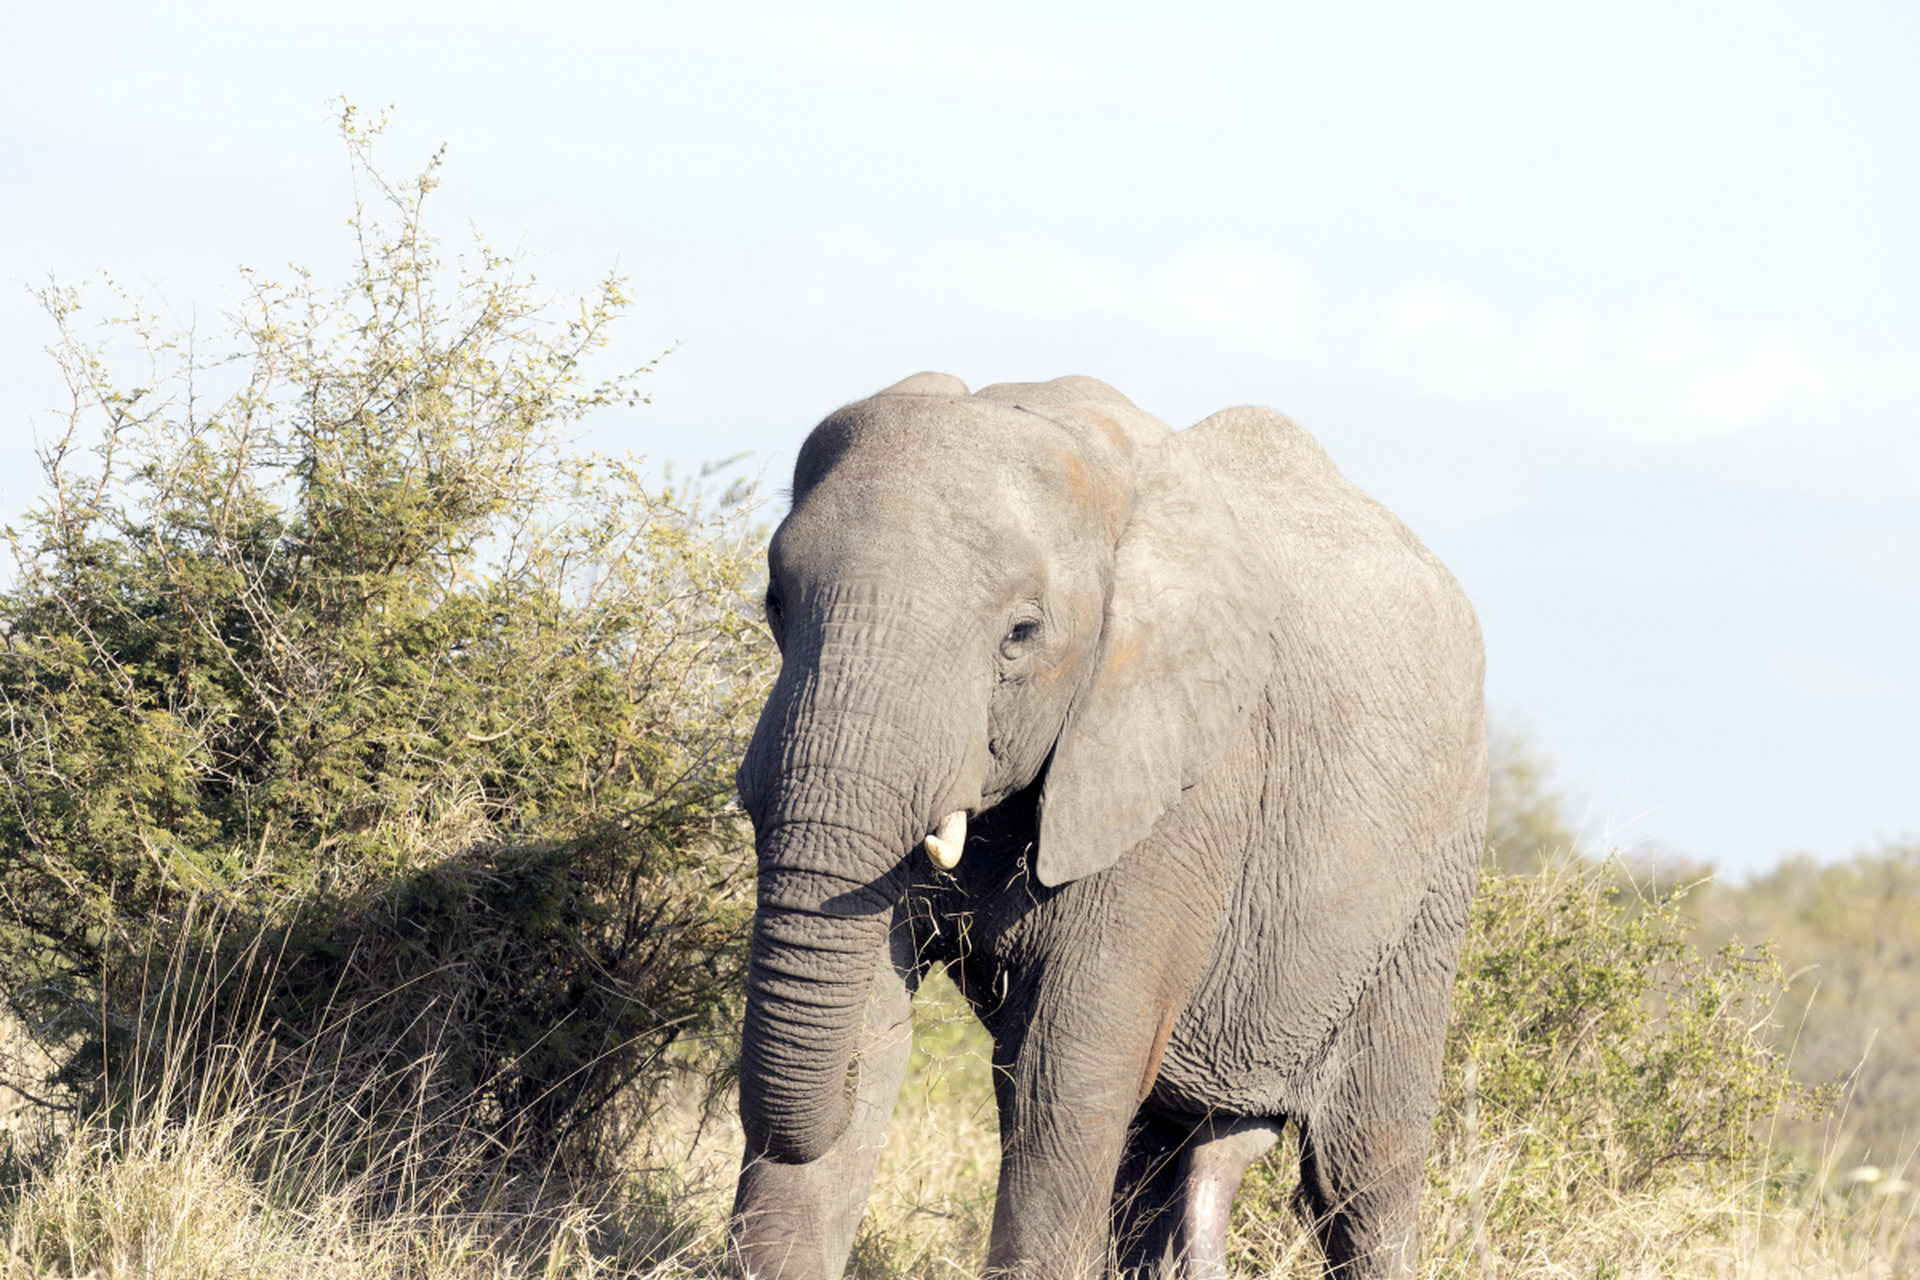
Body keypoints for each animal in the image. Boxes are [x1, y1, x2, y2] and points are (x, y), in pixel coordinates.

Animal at [725, 368, 1489, 1274]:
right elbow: (874, 1020)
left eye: (1021, 634)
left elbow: (1066, 1074)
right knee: (1168, 1157)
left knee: (1362, 1175)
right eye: (775, 600)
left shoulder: (1183, 786)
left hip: (1434, 882)